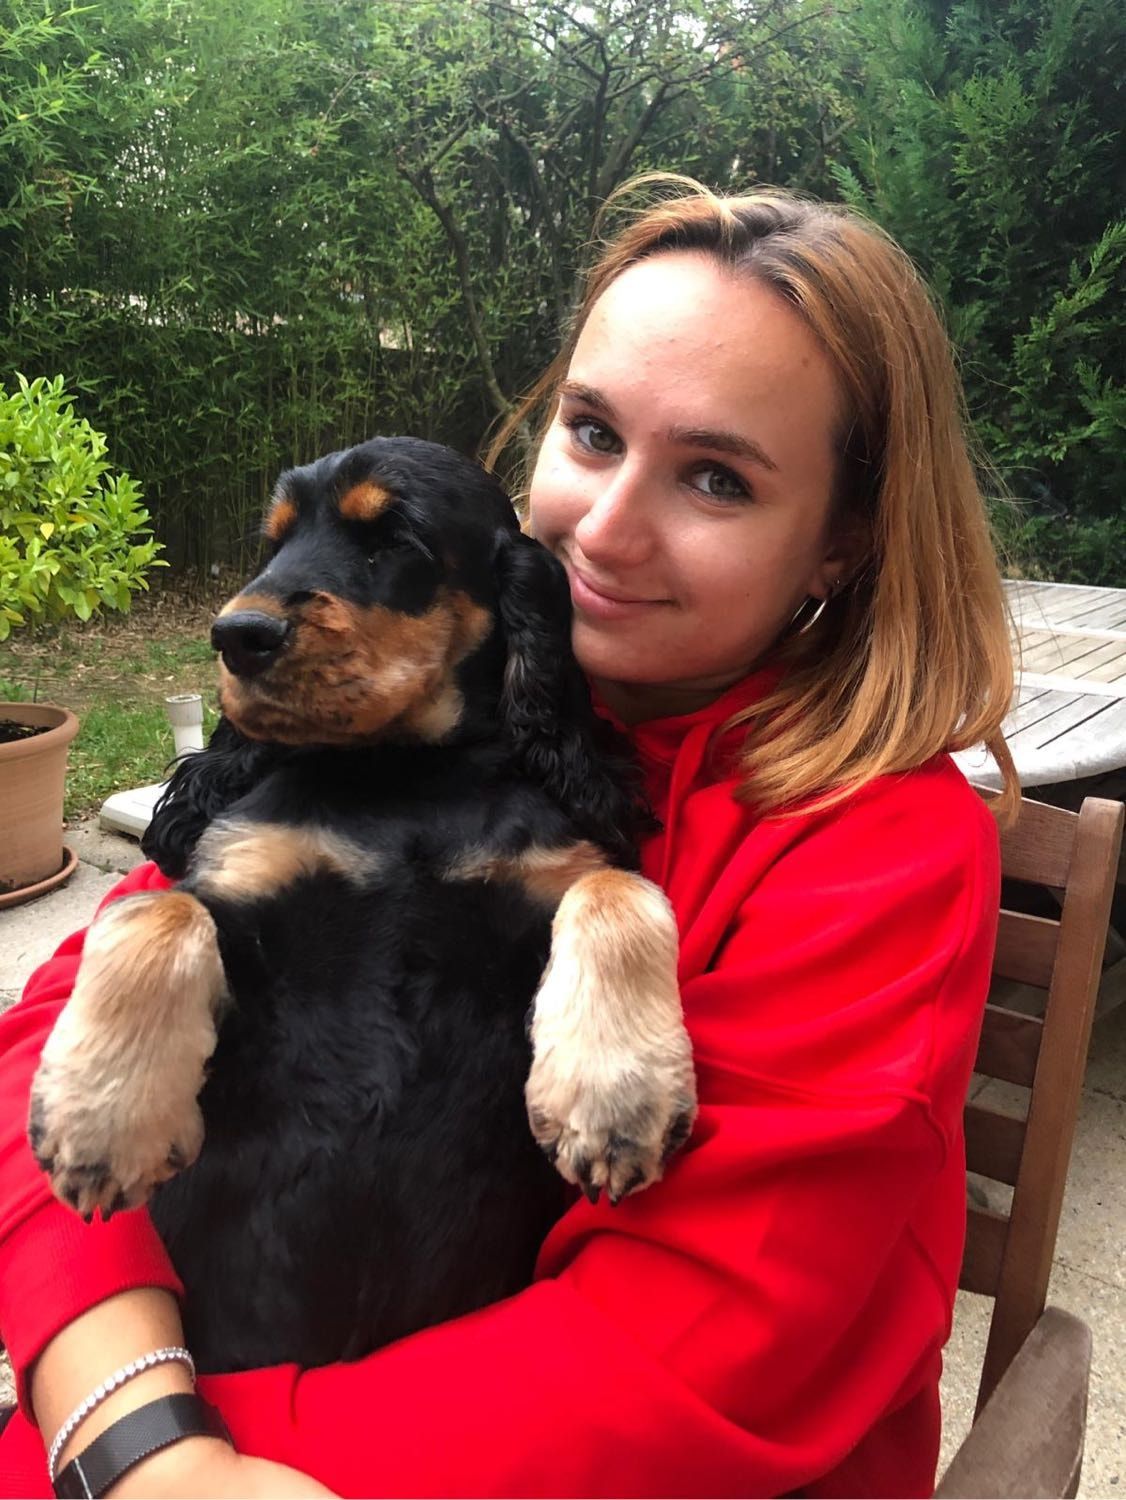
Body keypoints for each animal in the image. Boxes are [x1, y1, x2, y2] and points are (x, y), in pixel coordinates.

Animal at [28, 438, 696, 1374]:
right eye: (272, 543)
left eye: (393, 540)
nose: (236, 636)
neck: (403, 774)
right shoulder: (253, 887)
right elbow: (157, 912)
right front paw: (102, 1120)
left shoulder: (543, 877)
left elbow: (618, 887)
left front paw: (615, 1102)